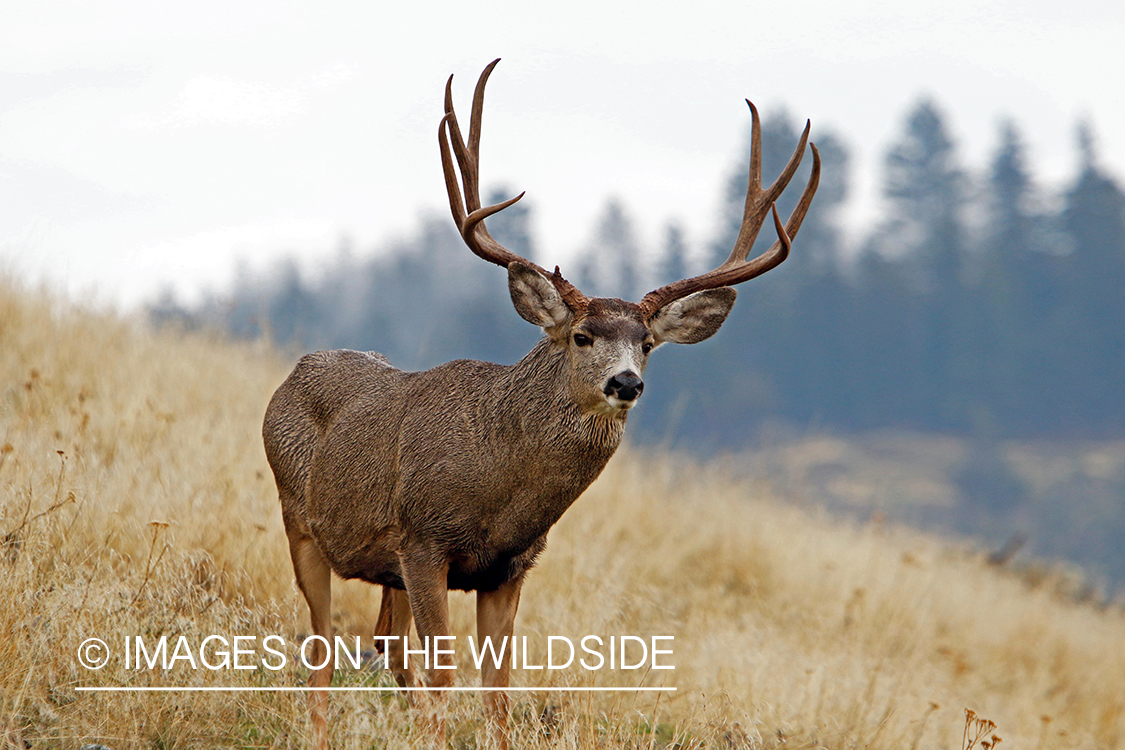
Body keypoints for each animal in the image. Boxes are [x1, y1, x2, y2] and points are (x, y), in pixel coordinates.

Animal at [262, 59, 819, 750]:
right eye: (582, 336)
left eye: (647, 344)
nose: (626, 384)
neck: (501, 488)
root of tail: (294, 373)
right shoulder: (424, 539)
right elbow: (446, 678)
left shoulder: (511, 566)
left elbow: (498, 694)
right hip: (300, 519)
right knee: (321, 643)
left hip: (378, 564)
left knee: (385, 642)